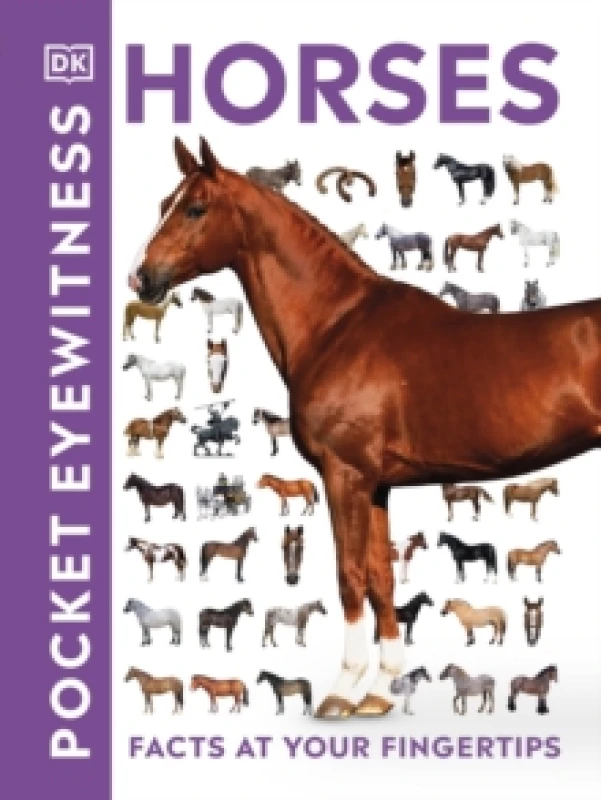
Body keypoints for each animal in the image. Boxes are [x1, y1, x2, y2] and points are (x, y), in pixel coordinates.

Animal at [126, 136, 601, 719]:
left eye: (195, 208)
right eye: (163, 204)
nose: (141, 278)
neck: (338, 325)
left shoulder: (344, 475)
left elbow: (349, 577)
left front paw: (339, 693)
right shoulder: (376, 485)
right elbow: (380, 577)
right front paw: (378, 692)